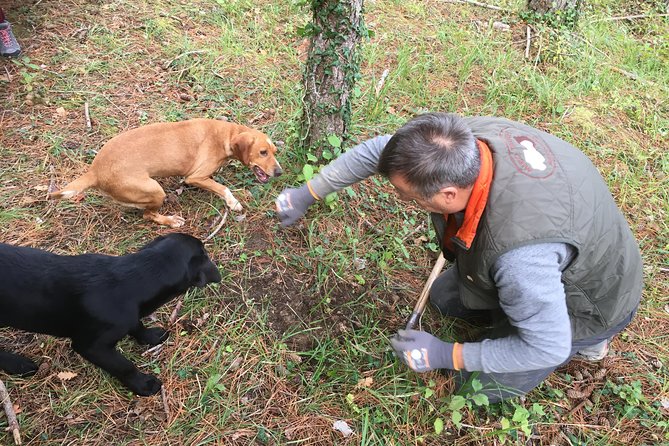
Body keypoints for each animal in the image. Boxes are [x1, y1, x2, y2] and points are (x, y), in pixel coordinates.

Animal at [0, 232, 220, 396]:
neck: (132, 277)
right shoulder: (92, 346)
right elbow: (124, 366)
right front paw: (143, 385)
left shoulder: (128, 316)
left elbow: (137, 324)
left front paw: (150, 336)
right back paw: (18, 364)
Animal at [51, 119, 280, 226]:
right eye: (263, 152)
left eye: (274, 152)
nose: (279, 172)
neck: (225, 134)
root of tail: (95, 171)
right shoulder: (194, 177)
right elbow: (223, 188)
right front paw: (233, 203)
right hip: (154, 190)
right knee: (148, 215)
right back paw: (170, 220)